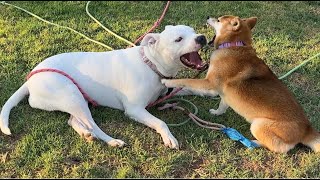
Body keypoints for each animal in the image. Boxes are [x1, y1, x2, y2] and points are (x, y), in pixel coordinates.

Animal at [0, 25, 208, 149]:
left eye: (192, 31)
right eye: (179, 39)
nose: (202, 37)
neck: (151, 64)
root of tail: (30, 79)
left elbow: (190, 87)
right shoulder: (135, 109)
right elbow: (160, 122)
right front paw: (168, 137)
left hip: (76, 99)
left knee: (74, 120)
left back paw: (86, 134)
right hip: (71, 94)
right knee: (92, 124)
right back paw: (112, 141)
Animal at [162, 15, 320, 153]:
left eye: (218, 20)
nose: (207, 17)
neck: (233, 46)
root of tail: (307, 129)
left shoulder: (209, 83)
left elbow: (186, 80)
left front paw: (168, 81)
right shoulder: (225, 94)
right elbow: (222, 105)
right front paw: (217, 113)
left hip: (258, 125)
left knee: (280, 148)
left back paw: (252, 142)